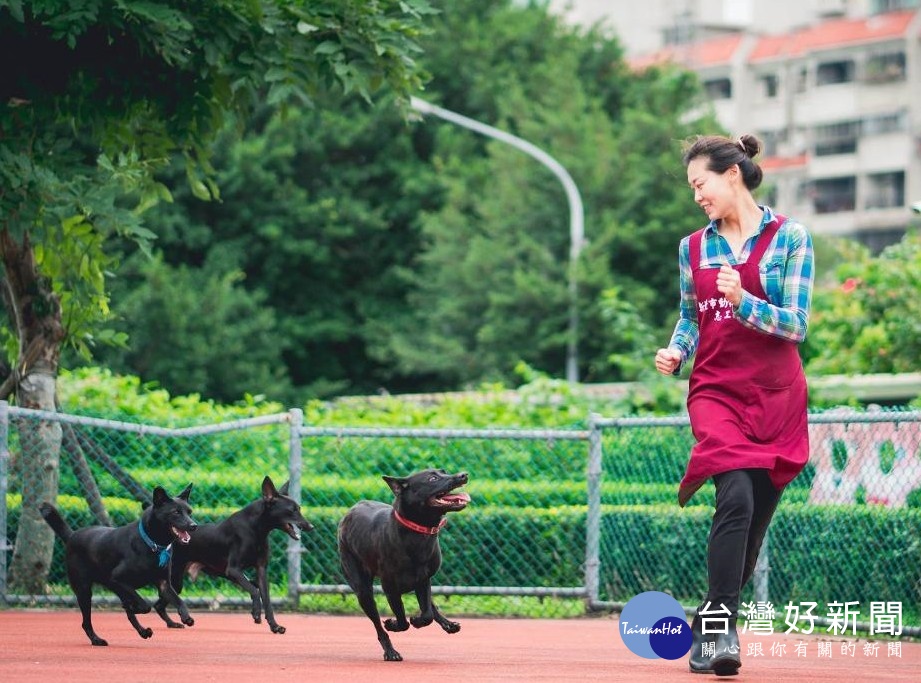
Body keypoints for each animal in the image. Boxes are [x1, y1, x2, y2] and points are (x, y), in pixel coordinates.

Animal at [41, 486, 198, 648]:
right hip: (84, 590)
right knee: (86, 622)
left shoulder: (163, 584)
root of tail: (72, 535)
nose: (194, 526)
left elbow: (179, 601)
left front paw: (186, 616)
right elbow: (145, 605)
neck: (151, 543)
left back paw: (143, 631)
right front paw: (134, 607)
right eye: (175, 512)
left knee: (128, 613)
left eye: (189, 512)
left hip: (115, 590)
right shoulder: (117, 579)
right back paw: (97, 640)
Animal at [156, 472, 314, 632]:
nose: (311, 526)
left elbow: (266, 599)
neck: (255, 529)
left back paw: (172, 623)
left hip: (175, 583)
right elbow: (255, 591)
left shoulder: (261, 569)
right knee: (159, 604)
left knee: (158, 605)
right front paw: (256, 613)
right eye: (293, 510)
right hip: (174, 579)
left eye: (298, 508)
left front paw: (274, 626)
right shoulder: (233, 570)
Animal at [336, 468, 470, 660]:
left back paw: (448, 624)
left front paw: (418, 620)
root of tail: (351, 511)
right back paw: (390, 651)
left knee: (430, 607)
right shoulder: (390, 589)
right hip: (362, 590)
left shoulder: (423, 580)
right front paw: (393, 624)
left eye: (444, 471)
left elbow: (427, 613)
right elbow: (402, 621)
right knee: (378, 626)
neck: (417, 531)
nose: (463, 475)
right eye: (432, 478)